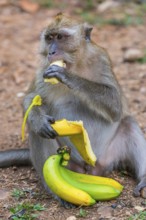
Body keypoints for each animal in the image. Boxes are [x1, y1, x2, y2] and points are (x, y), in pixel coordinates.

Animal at [0, 13, 146, 205]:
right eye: (49, 38)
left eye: (60, 37)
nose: (51, 52)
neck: (75, 64)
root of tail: (91, 168)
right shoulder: (42, 69)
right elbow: (30, 98)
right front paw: (38, 119)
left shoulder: (101, 59)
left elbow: (115, 105)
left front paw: (66, 76)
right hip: (71, 164)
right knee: (38, 133)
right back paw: (55, 190)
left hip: (111, 154)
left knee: (128, 123)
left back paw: (144, 179)